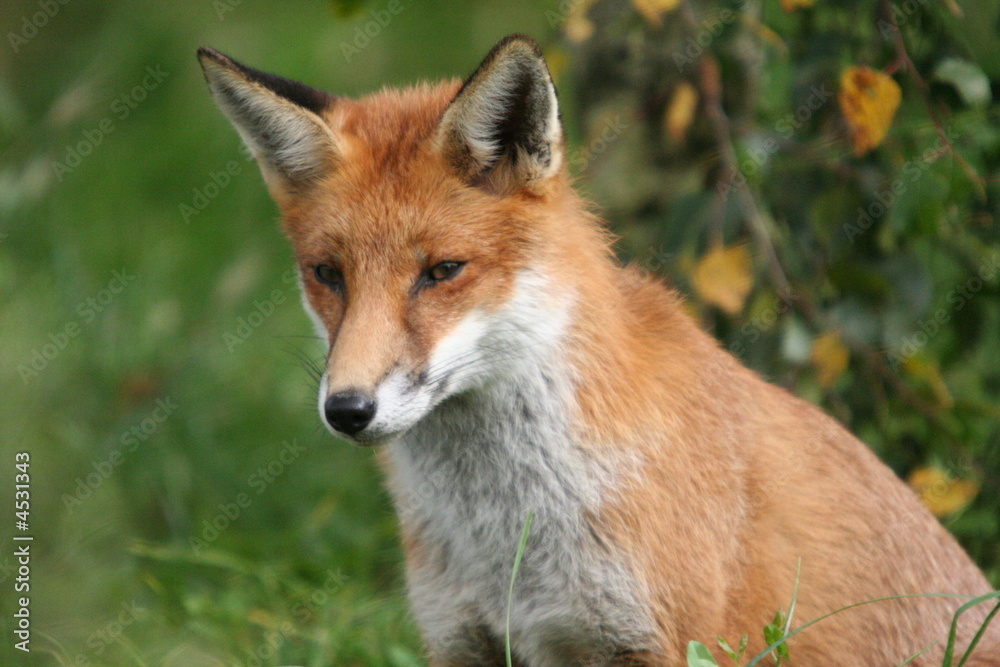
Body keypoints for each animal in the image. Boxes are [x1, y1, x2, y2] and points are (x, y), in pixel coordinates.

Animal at [198, 35, 999, 666]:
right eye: (328, 274)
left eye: (442, 271)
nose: (347, 409)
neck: (508, 541)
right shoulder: (466, 640)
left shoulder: (663, 642)